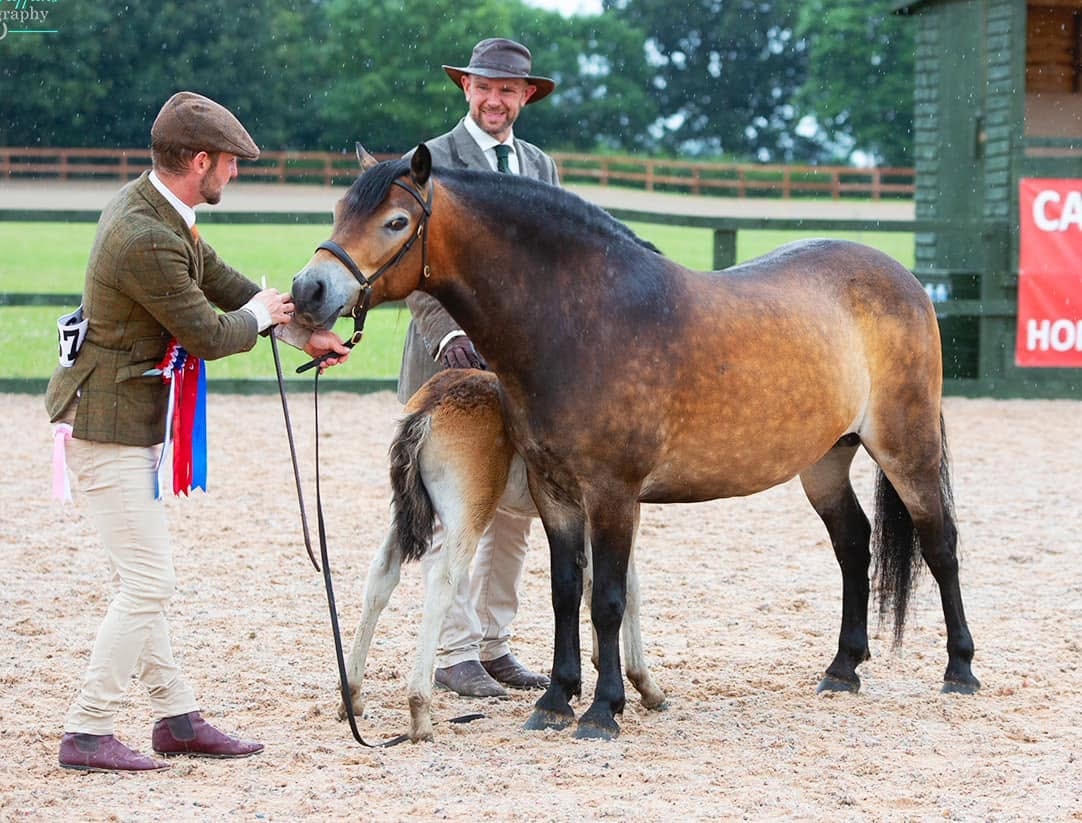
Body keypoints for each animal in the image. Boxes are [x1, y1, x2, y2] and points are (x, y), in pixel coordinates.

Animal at [340, 367, 665, 742]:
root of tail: (434, 401)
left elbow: (589, 585)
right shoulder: (617, 508)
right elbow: (627, 591)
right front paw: (643, 685)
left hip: (403, 518)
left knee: (380, 577)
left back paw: (352, 694)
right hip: (468, 515)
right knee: (442, 583)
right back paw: (419, 710)